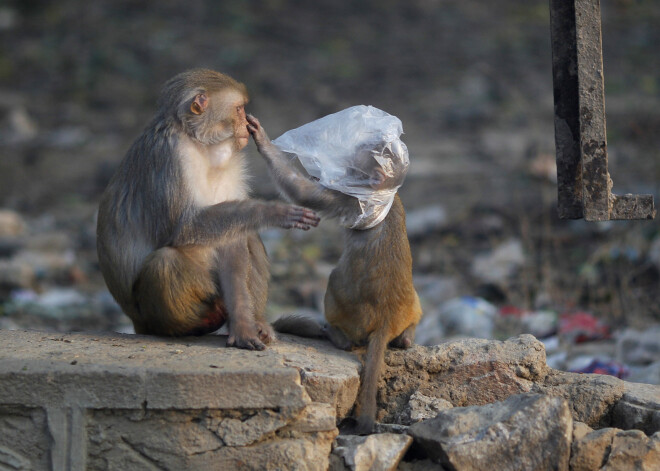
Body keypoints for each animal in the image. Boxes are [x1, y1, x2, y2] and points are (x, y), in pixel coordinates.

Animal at [96, 70, 320, 350]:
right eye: (238, 109)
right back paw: (193, 325)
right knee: (164, 263)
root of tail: (136, 323)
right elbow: (184, 228)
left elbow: (232, 241)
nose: (246, 124)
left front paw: (244, 326)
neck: (200, 145)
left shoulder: (231, 163)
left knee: (246, 235)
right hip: (150, 315)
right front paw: (271, 212)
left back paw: (254, 321)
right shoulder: (170, 155)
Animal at [248, 112, 422, 434]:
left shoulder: (347, 199)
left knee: (333, 284)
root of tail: (387, 320)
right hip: (409, 308)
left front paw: (263, 141)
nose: (347, 166)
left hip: (351, 313)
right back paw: (406, 337)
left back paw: (336, 335)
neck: (383, 195)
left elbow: (303, 193)